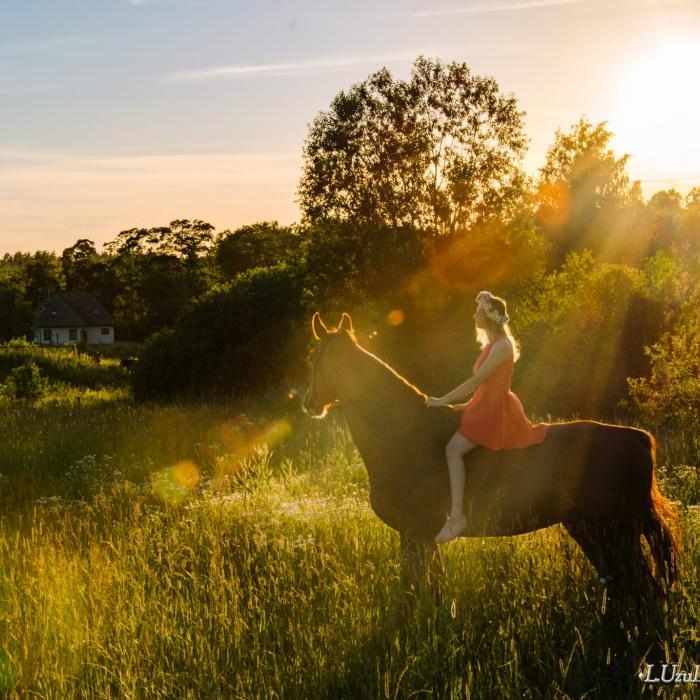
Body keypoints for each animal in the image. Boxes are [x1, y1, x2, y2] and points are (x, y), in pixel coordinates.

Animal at [304, 314, 680, 592]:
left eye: (313, 356)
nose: (308, 403)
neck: (403, 436)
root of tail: (637, 438)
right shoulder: (420, 537)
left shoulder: (414, 533)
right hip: (591, 530)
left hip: (614, 532)